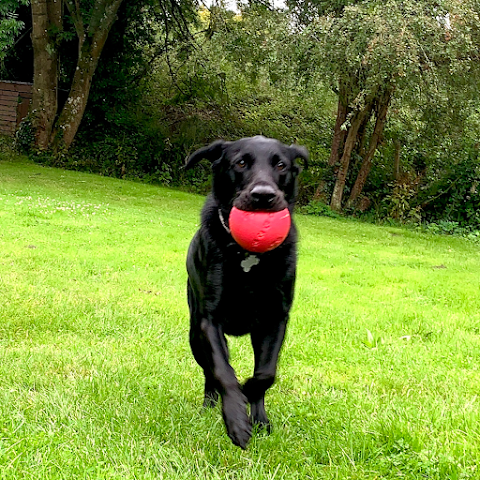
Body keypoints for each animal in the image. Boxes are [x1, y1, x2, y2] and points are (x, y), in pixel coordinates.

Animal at [184, 134, 308, 446]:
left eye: (281, 165)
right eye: (240, 163)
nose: (263, 195)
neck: (249, 257)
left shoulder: (275, 319)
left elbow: (265, 374)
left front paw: (251, 397)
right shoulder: (209, 321)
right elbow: (222, 371)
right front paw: (236, 421)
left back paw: (260, 417)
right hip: (194, 335)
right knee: (209, 372)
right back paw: (210, 405)